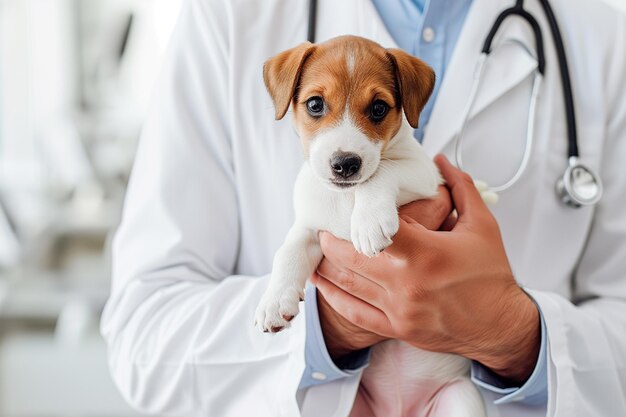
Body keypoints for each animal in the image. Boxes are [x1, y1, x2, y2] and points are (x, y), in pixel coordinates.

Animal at [252, 35, 482, 416]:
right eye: (315, 104)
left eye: (378, 108)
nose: (345, 164)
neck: (345, 200)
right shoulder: (311, 226)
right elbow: (288, 251)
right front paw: (273, 298)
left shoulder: (426, 177)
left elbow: (383, 171)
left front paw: (369, 220)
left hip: (460, 399)